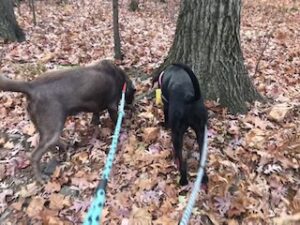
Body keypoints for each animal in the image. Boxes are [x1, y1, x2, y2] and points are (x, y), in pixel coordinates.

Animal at [0, 59, 135, 181]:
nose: (132, 105)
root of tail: (31, 87)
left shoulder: (95, 105)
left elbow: (95, 115)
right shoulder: (112, 106)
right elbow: (117, 119)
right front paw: (123, 128)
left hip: (46, 126)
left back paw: (65, 146)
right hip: (53, 126)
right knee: (34, 155)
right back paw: (40, 178)